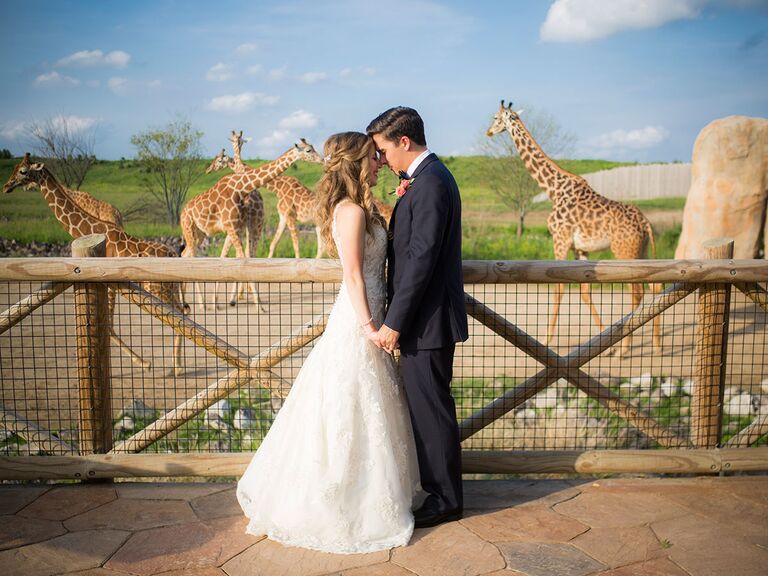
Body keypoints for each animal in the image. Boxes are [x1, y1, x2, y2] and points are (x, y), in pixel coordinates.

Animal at [3, 154, 187, 374]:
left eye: (23, 171)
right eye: (14, 168)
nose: (6, 186)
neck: (89, 229)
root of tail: (173, 253)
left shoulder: (110, 284)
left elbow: (109, 326)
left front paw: (144, 363)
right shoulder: (113, 287)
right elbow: (109, 326)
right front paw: (142, 362)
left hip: (159, 290)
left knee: (179, 316)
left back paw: (176, 366)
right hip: (171, 288)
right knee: (184, 311)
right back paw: (177, 363)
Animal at [182, 137, 322, 308]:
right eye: (309, 150)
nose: (323, 159)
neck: (240, 187)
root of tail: (182, 212)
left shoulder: (241, 226)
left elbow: (242, 257)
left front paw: (246, 299)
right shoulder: (239, 226)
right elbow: (247, 255)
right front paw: (253, 300)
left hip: (200, 234)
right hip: (191, 230)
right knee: (188, 256)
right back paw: (199, 303)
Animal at [486, 101, 660, 358]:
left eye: (496, 118)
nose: (488, 132)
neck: (552, 189)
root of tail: (646, 223)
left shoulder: (560, 240)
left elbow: (558, 288)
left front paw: (546, 340)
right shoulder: (580, 248)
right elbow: (585, 292)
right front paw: (605, 343)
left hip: (624, 251)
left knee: (637, 292)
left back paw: (625, 350)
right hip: (642, 250)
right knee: (655, 285)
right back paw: (656, 345)